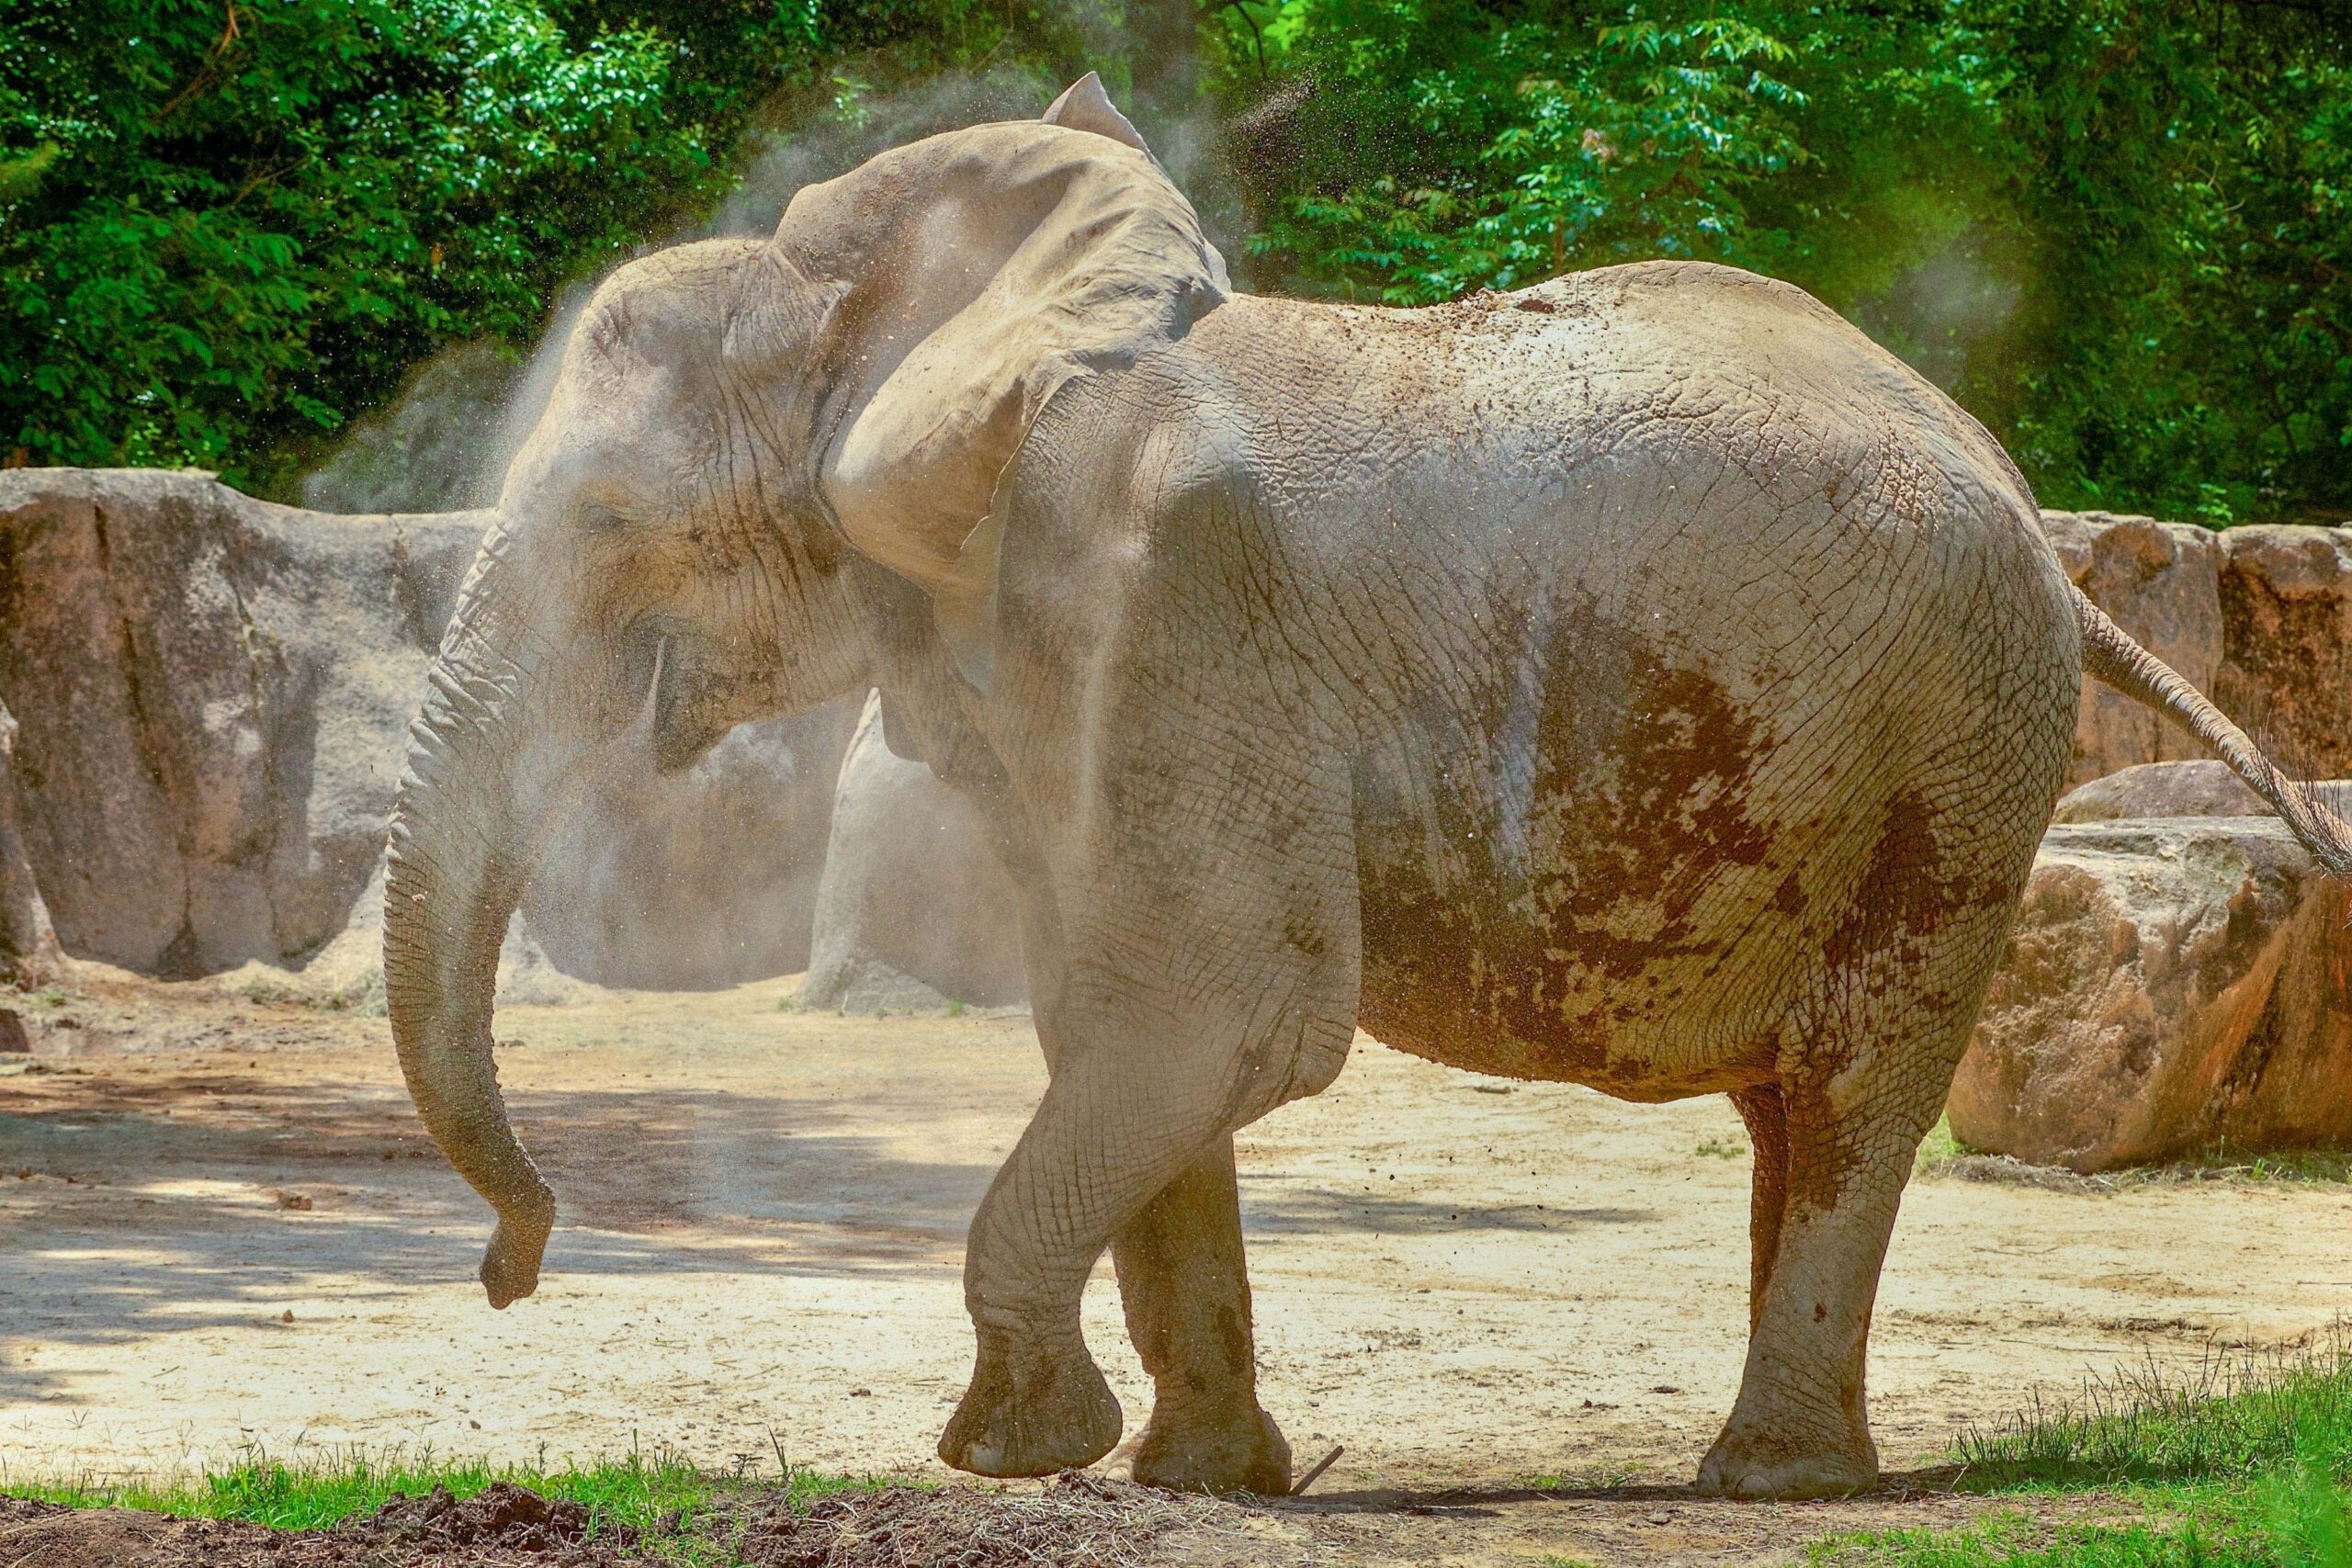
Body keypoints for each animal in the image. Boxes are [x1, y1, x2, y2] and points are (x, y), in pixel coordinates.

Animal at [383, 73, 2352, 1500]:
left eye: (612, 525)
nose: (513, 1270)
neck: (913, 311)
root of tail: (2037, 519)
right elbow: (1117, 1023)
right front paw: (1192, 1479)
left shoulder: (1164, 600)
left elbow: (1217, 1010)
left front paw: (1009, 1454)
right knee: (1794, 1107)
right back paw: (1788, 1461)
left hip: (1955, 733)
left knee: (1858, 1082)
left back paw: (1766, 1483)